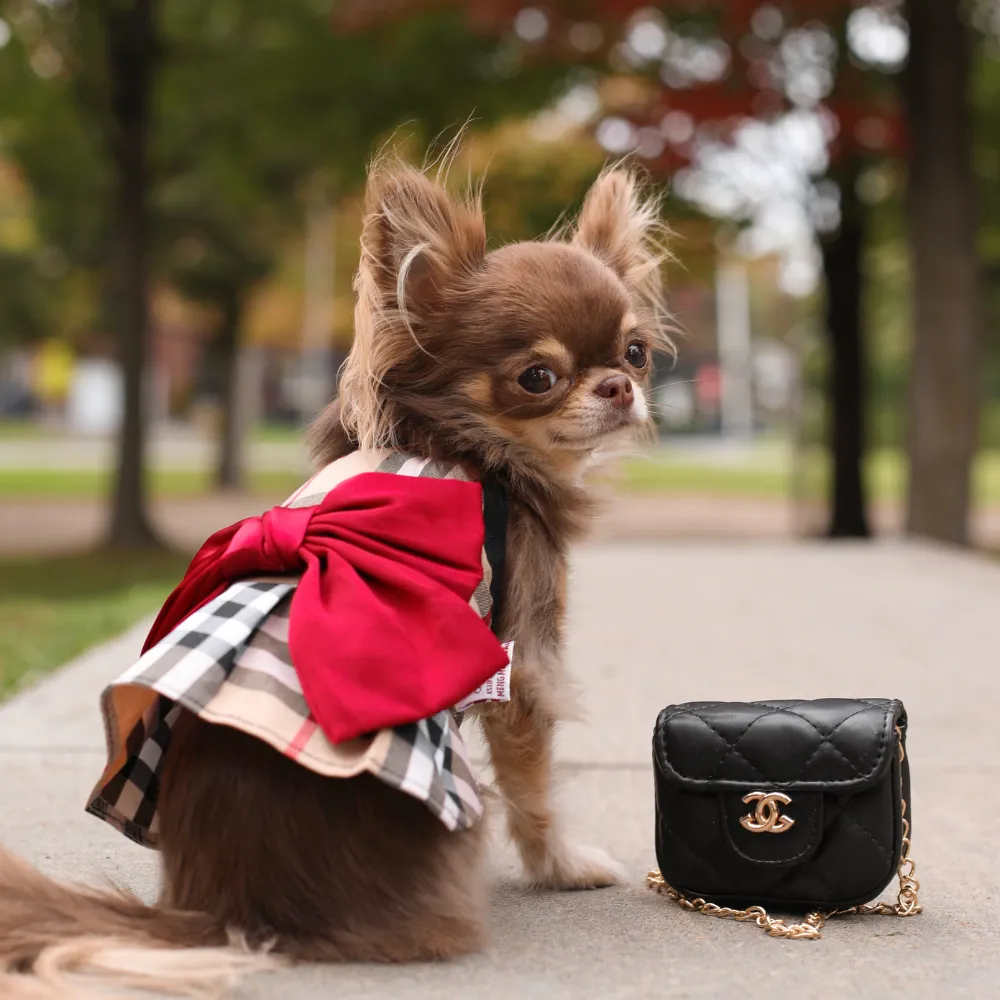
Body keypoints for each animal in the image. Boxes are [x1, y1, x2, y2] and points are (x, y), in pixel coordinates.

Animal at [1, 156, 672, 1000]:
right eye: (538, 377)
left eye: (636, 352)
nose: (619, 386)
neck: (466, 444)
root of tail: (225, 911)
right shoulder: (521, 655)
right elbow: (534, 782)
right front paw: (561, 867)